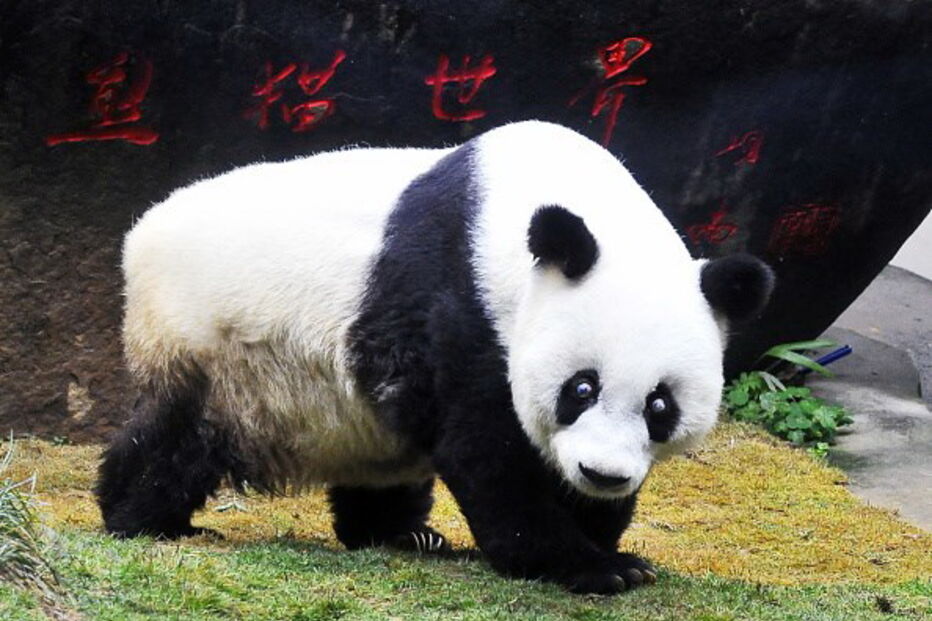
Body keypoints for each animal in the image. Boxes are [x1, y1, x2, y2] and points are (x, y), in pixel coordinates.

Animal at [96, 120, 773, 595]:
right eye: (581, 388)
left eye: (661, 405)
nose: (602, 473)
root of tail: (141, 233)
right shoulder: (463, 306)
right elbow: (488, 452)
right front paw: (589, 567)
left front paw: (605, 541)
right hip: (209, 344)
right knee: (176, 436)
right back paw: (142, 517)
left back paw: (402, 534)